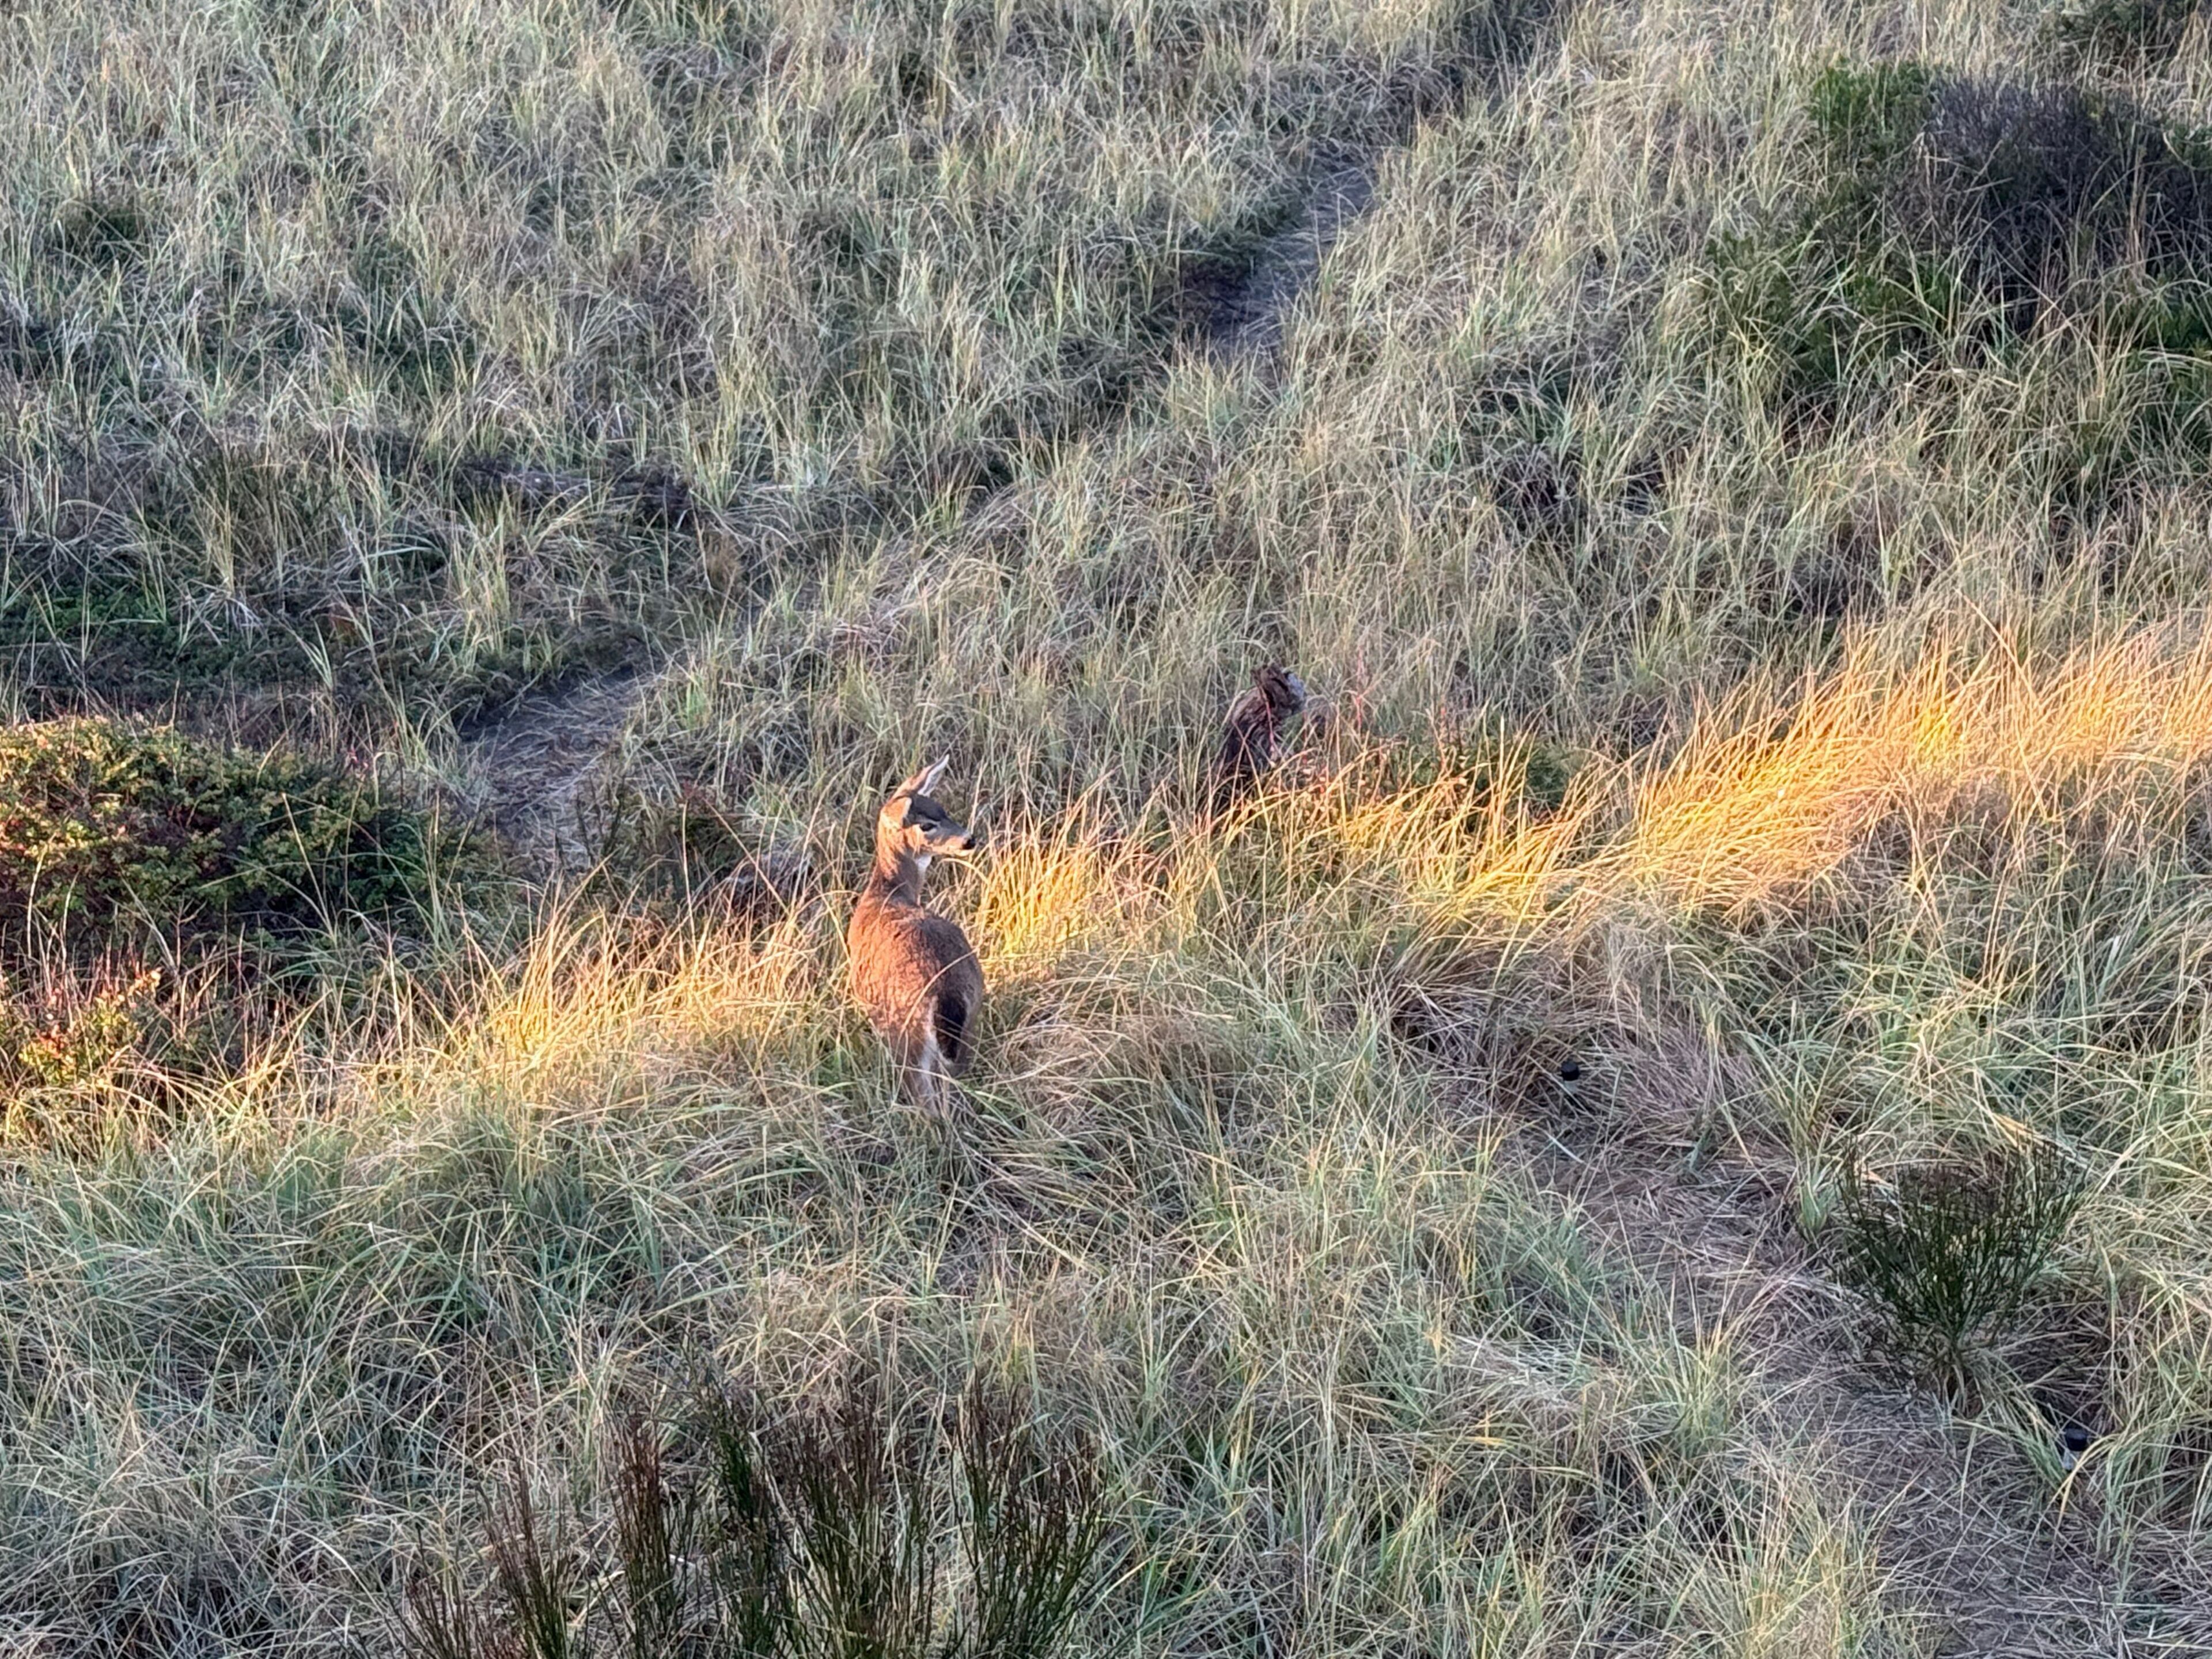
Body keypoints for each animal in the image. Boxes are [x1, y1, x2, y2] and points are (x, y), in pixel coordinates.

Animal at [846, 758, 985, 1115]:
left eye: (943, 810)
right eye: (927, 824)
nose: (969, 840)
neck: (886, 896)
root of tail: (946, 991)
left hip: (906, 1029)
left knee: (926, 1099)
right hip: (970, 1019)